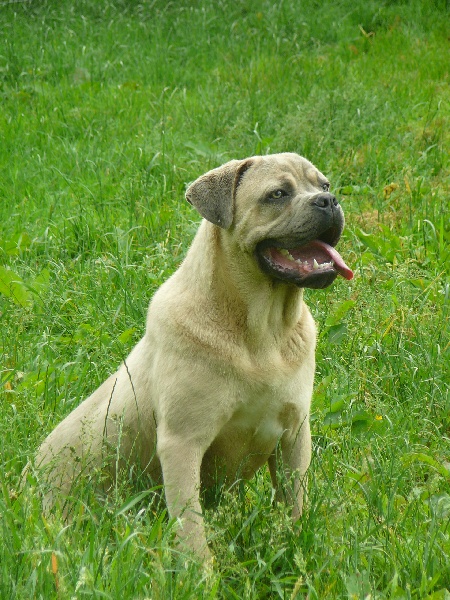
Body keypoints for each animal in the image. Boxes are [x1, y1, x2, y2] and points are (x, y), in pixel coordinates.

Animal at [36, 152, 352, 560]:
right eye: (278, 194)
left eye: (324, 185)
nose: (329, 201)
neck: (262, 332)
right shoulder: (183, 444)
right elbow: (192, 529)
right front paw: (199, 571)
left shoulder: (294, 436)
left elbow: (293, 504)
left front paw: (293, 549)